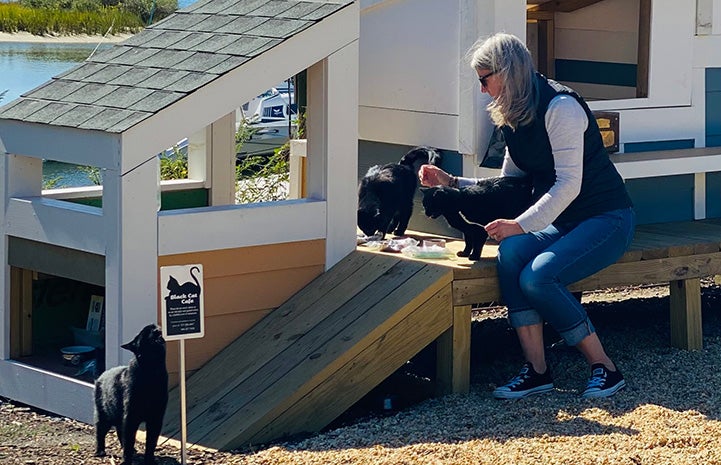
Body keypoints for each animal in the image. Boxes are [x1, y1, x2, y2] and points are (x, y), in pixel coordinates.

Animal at [94, 322, 169, 464]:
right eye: (146, 333)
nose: (155, 327)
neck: (152, 373)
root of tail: (102, 374)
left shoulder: (156, 418)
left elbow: (151, 442)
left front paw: (149, 460)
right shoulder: (130, 417)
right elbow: (129, 439)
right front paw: (126, 461)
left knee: (119, 431)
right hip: (105, 415)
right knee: (100, 431)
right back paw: (99, 451)